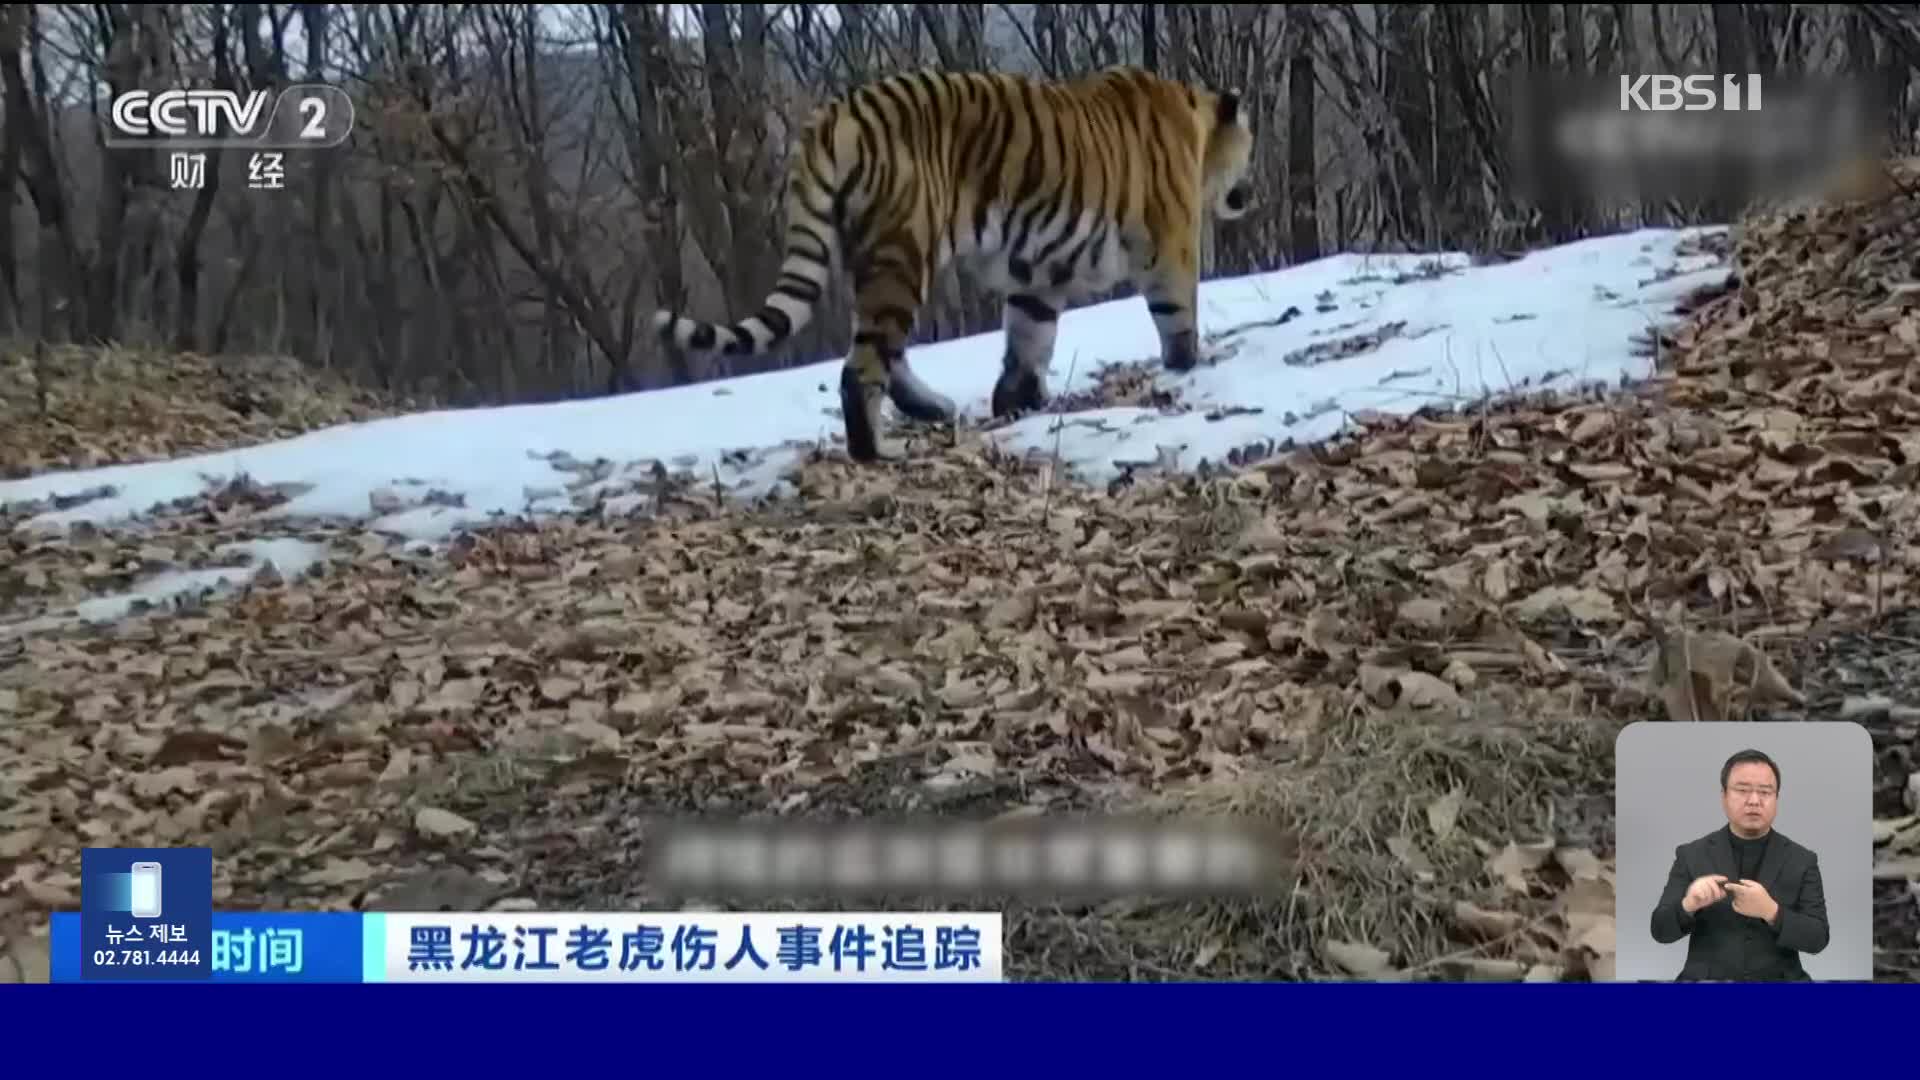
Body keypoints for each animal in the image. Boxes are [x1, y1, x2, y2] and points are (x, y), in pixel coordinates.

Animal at [656, 66, 1259, 463]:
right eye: (1248, 150)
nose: (1250, 191)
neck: (1197, 124)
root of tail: (834, 115)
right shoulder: (1172, 245)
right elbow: (1178, 316)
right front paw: (1188, 365)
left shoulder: (1037, 273)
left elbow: (1029, 336)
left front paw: (1017, 401)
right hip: (904, 252)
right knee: (862, 366)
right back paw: (877, 450)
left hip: (873, 258)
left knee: (883, 352)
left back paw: (934, 410)